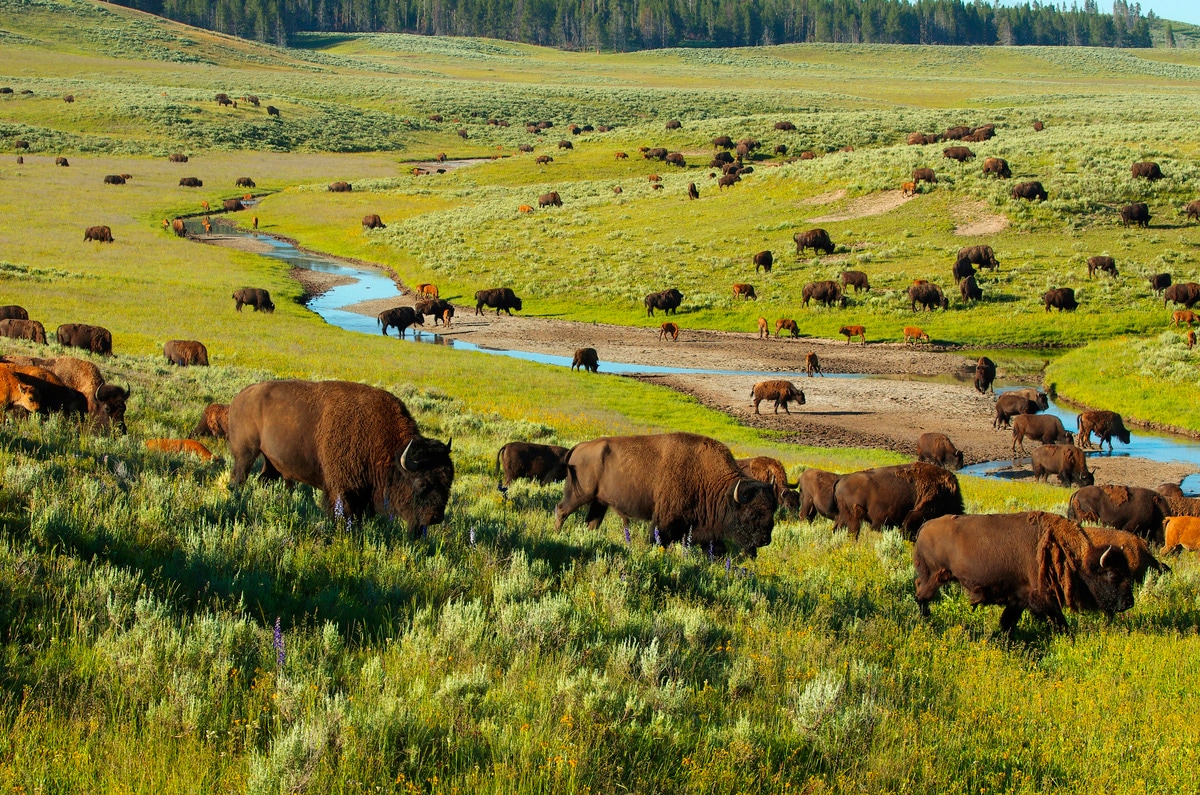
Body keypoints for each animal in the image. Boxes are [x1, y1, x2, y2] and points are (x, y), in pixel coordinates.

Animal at [226, 379, 451, 535]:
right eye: (421, 483)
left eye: (448, 483)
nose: (435, 517)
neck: (388, 450)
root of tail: (240, 397)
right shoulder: (342, 491)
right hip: (245, 454)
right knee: (239, 478)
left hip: (271, 462)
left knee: (263, 479)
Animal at [552, 432, 777, 557]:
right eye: (751, 513)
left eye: (772, 512)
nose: (765, 540)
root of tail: (579, 447)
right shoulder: (664, 522)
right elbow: (658, 540)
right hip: (579, 495)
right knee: (561, 510)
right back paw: (556, 534)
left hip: (599, 502)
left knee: (592, 522)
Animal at [916, 513, 1132, 638]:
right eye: (1113, 575)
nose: (1129, 603)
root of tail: (924, 527)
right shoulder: (1042, 599)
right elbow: (1059, 620)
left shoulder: (1019, 600)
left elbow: (1009, 621)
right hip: (933, 577)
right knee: (921, 597)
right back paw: (926, 620)